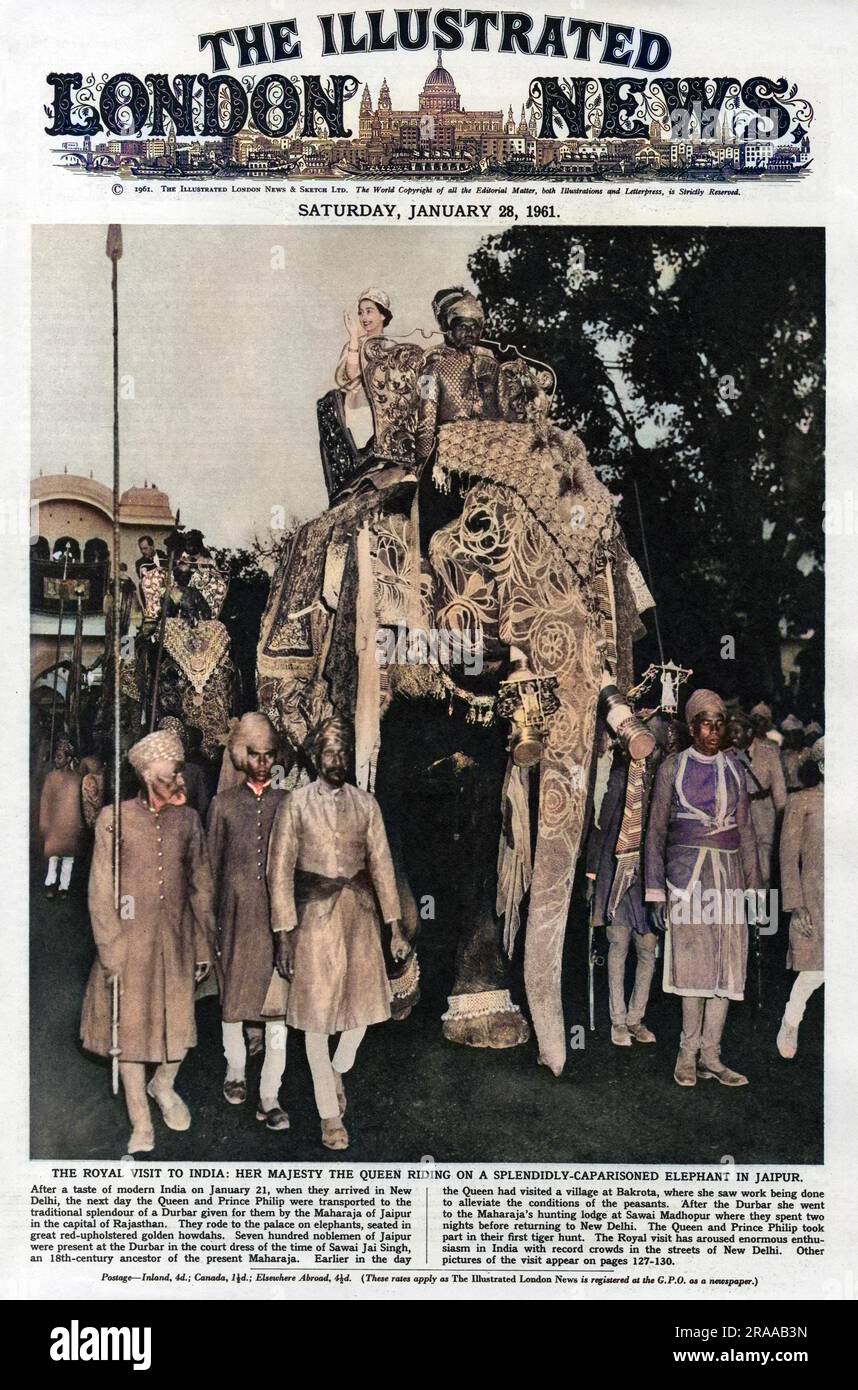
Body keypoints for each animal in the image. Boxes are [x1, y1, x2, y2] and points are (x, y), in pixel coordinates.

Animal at [257, 296, 653, 1073]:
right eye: (479, 528)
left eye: (611, 569)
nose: (557, 1064)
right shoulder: (372, 647)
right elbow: (378, 793)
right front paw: (398, 971)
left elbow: (479, 807)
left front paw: (488, 1020)